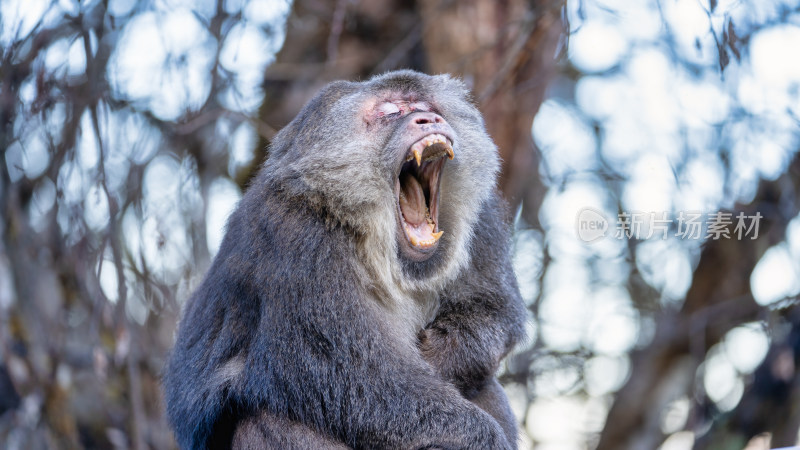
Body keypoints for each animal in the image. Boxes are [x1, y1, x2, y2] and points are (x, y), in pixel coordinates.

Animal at [162, 70, 524, 450]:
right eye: (392, 111)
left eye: (428, 107)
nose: (429, 119)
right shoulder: (297, 238)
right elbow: (353, 379)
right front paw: (481, 438)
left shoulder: (484, 217)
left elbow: (496, 309)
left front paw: (441, 354)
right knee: (266, 420)